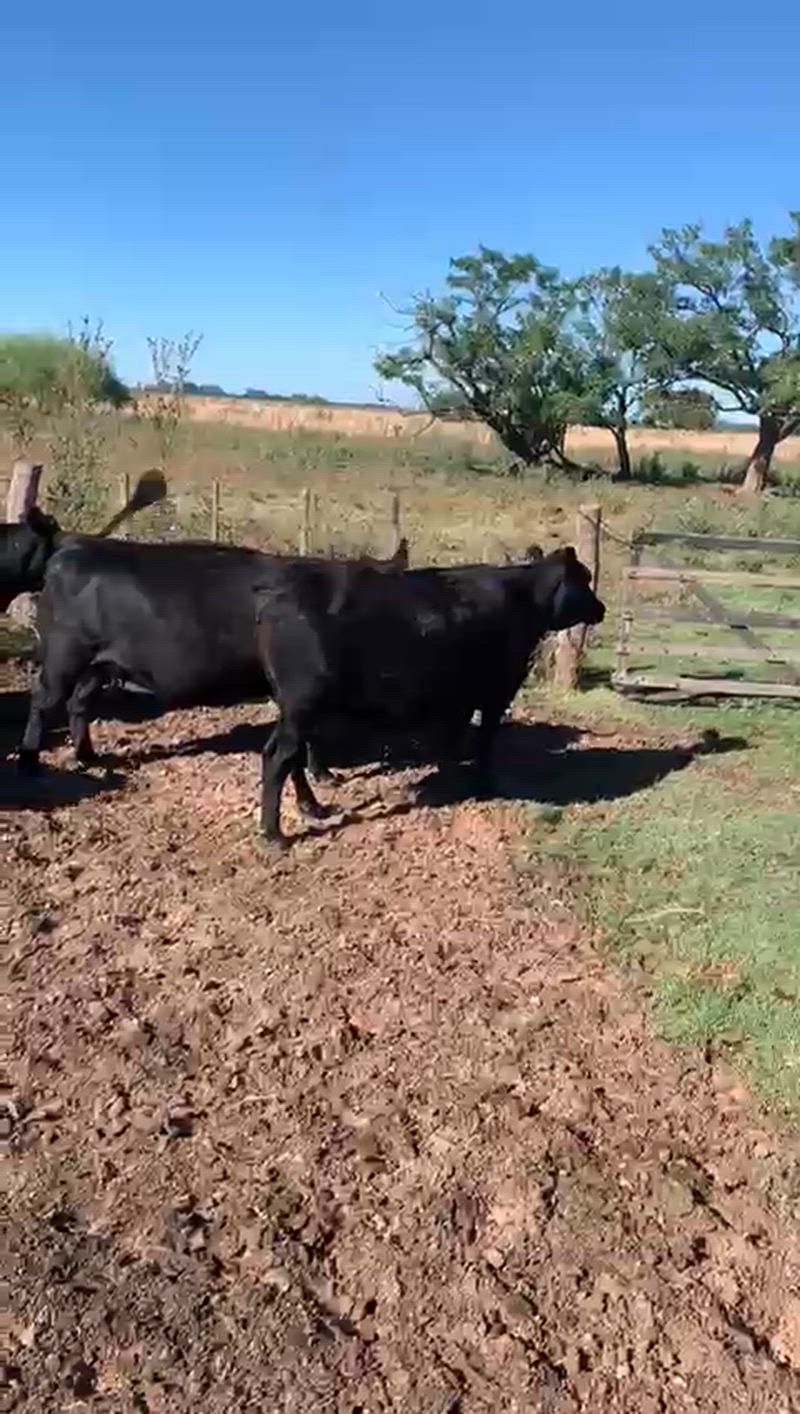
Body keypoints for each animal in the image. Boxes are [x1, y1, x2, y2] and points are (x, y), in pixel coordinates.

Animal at [16, 534, 409, 778]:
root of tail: (69, 550)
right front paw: (326, 774)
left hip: (99, 665)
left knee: (79, 703)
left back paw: (87, 757)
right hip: (63, 655)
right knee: (43, 701)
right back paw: (30, 764)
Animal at [254, 547, 605, 843]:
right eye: (584, 579)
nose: (601, 608)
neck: (523, 600)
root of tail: (276, 602)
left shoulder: (461, 699)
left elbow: (454, 738)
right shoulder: (496, 694)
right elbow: (484, 742)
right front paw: (484, 784)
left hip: (297, 710)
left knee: (291, 757)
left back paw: (312, 808)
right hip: (303, 706)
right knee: (279, 757)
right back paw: (274, 835)